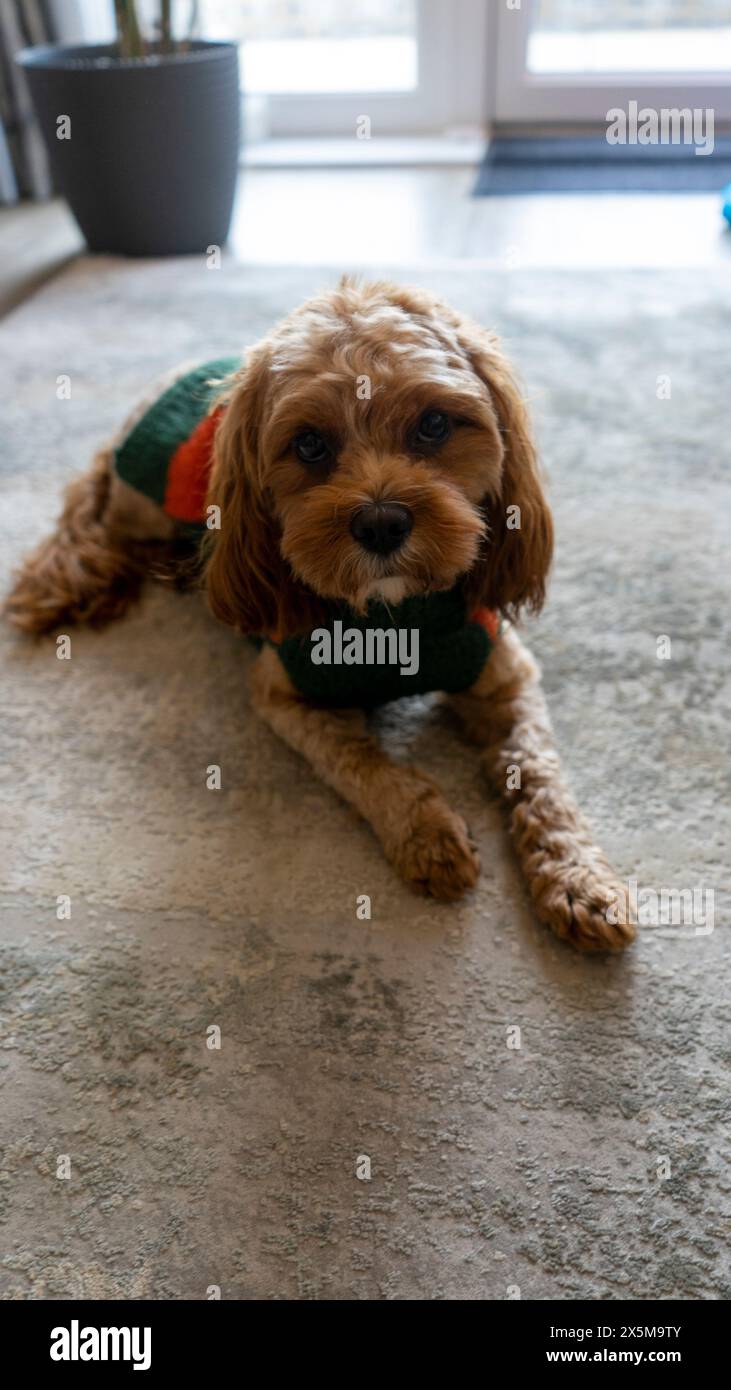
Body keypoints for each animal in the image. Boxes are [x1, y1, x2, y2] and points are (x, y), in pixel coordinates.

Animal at [5, 282, 636, 956]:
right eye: (309, 444)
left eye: (435, 424)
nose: (382, 522)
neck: (396, 617)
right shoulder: (285, 692)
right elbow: (360, 761)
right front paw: (426, 831)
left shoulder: (505, 675)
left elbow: (543, 778)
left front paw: (579, 876)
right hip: (140, 506)